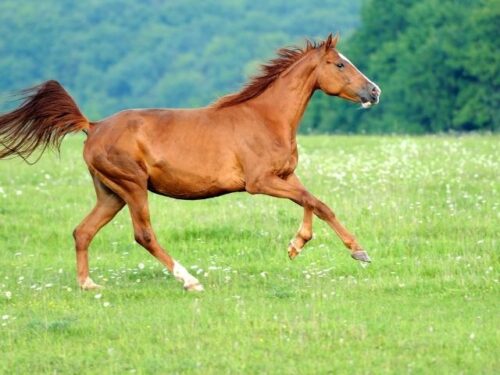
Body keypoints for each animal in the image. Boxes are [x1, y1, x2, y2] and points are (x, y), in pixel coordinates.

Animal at [0, 34, 378, 290]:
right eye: (340, 64)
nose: (374, 92)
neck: (266, 118)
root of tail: (92, 126)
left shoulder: (286, 176)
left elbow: (314, 203)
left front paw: (300, 246)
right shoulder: (260, 183)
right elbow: (316, 202)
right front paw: (356, 252)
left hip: (110, 194)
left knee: (83, 231)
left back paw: (88, 284)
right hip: (132, 187)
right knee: (143, 235)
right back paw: (189, 280)